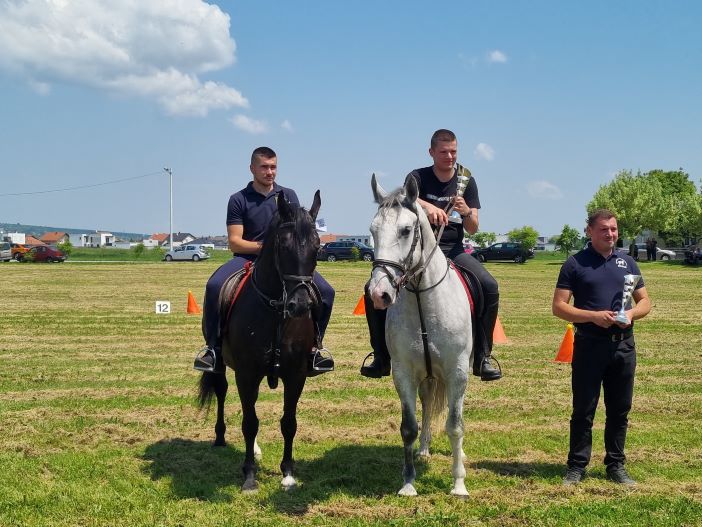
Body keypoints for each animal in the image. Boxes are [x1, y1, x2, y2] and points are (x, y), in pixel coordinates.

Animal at [199, 192, 324, 492]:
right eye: (283, 245)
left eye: (317, 247)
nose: (300, 305)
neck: (275, 311)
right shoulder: (247, 374)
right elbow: (249, 423)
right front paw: (249, 476)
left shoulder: (295, 374)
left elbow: (288, 422)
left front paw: (288, 473)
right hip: (222, 365)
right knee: (222, 392)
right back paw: (220, 438)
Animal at [368, 174, 472, 500]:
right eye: (372, 230)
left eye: (405, 230)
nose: (378, 293)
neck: (424, 301)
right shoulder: (403, 373)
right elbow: (408, 427)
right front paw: (408, 483)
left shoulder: (457, 372)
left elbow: (455, 426)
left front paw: (458, 484)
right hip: (426, 376)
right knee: (426, 406)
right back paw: (424, 449)